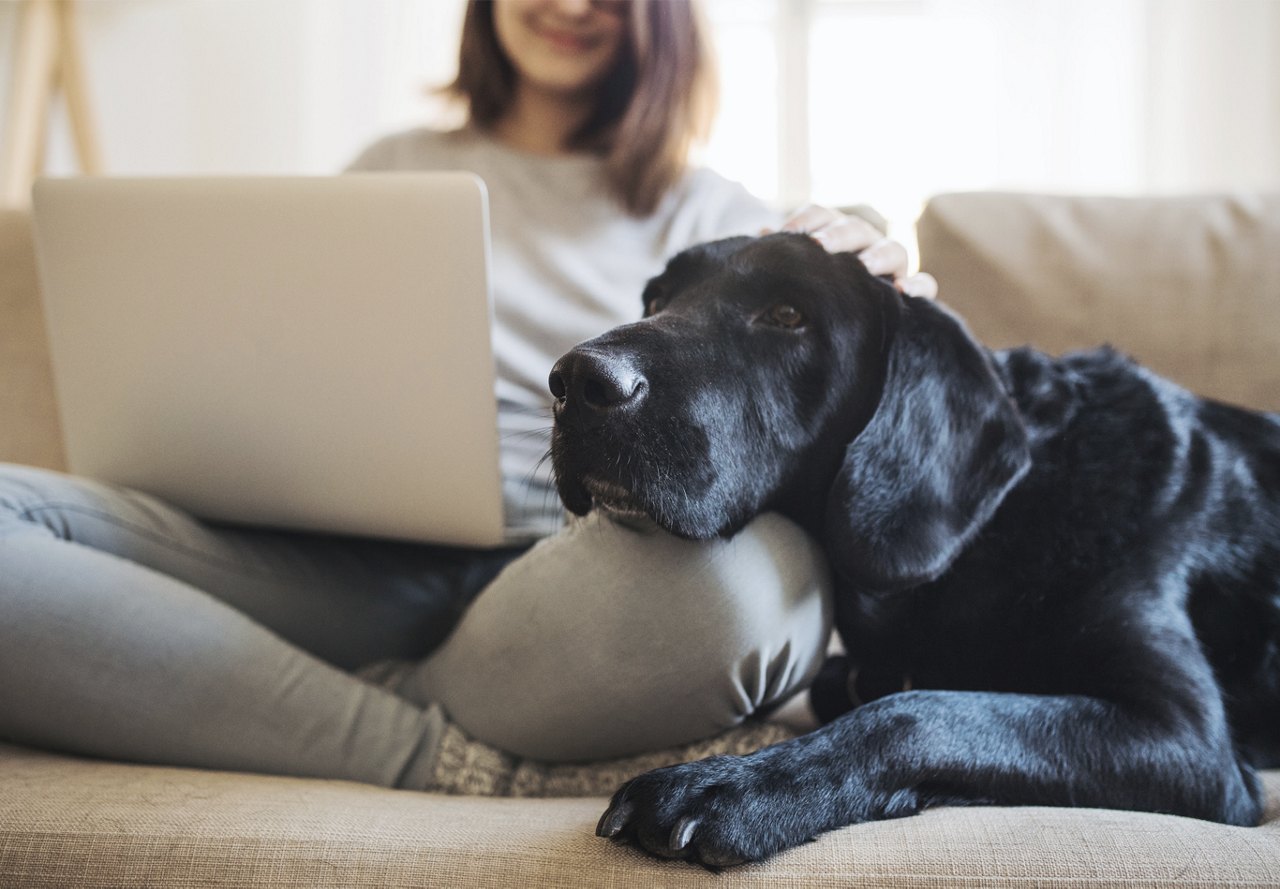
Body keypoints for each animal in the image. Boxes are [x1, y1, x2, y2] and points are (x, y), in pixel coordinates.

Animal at [545, 232, 1274, 864]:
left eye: (788, 315)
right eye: (655, 299)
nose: (576, 380)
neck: (996, 526)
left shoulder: (1186, 737)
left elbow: (916, 711)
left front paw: (731, 787)